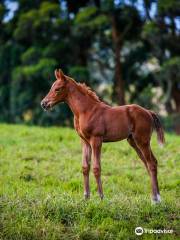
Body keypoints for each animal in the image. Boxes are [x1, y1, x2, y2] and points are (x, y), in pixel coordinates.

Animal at [41, 69, 165, 202]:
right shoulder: (85, 141)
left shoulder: (96, 140)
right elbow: (85, 167)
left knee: (151, 164)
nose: (44, 104)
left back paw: (156, 199)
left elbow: (96, 168)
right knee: (150, 162)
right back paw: (155, 197)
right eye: (52, 87)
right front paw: (86, 197)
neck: (86, 110)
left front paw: (101, 197)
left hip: (142, 141)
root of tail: (148, 112)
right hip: (133, 141)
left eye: (57, 89)